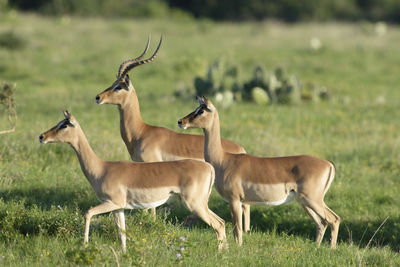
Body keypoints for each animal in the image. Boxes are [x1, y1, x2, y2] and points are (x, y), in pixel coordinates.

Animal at [38, 111, 227, 253]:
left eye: (64, 125)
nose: (42, 136)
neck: (101, 169)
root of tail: (209, 167)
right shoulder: (119, 208)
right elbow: (122, 233)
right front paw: (124, 254)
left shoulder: (111, 202)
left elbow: (88, 213)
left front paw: (84, 244)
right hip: (200, 204)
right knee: (223, 222)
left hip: (194, 204)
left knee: (218, 224)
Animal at [178, 97, 340, 250]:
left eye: (202, 110)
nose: (181, 121)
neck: (223, 160)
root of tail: (329, 164)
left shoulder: (234, 200)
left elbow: (237, 230)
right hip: (304, 202)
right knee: (322, 222)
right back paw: (316, 246)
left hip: (312, 200)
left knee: (333, 219)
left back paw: (331, 249)